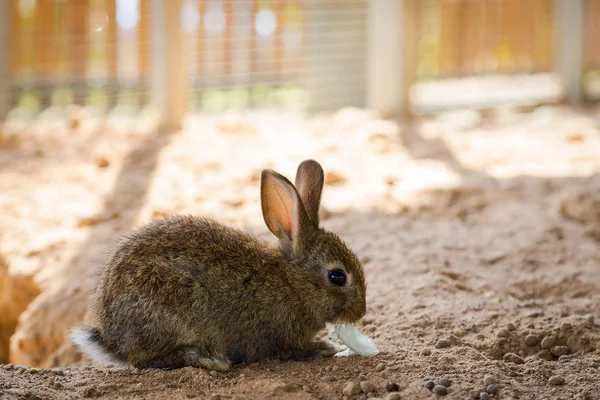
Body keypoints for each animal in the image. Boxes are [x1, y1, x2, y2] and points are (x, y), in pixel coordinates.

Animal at [72, 160, 368, 372]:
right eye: (337, 277)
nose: (361, 311)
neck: (292, 282)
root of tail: (112, 338)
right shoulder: (277, 336)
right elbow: (292, 351)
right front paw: (326, 346)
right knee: (145, 360)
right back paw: (209, 359)